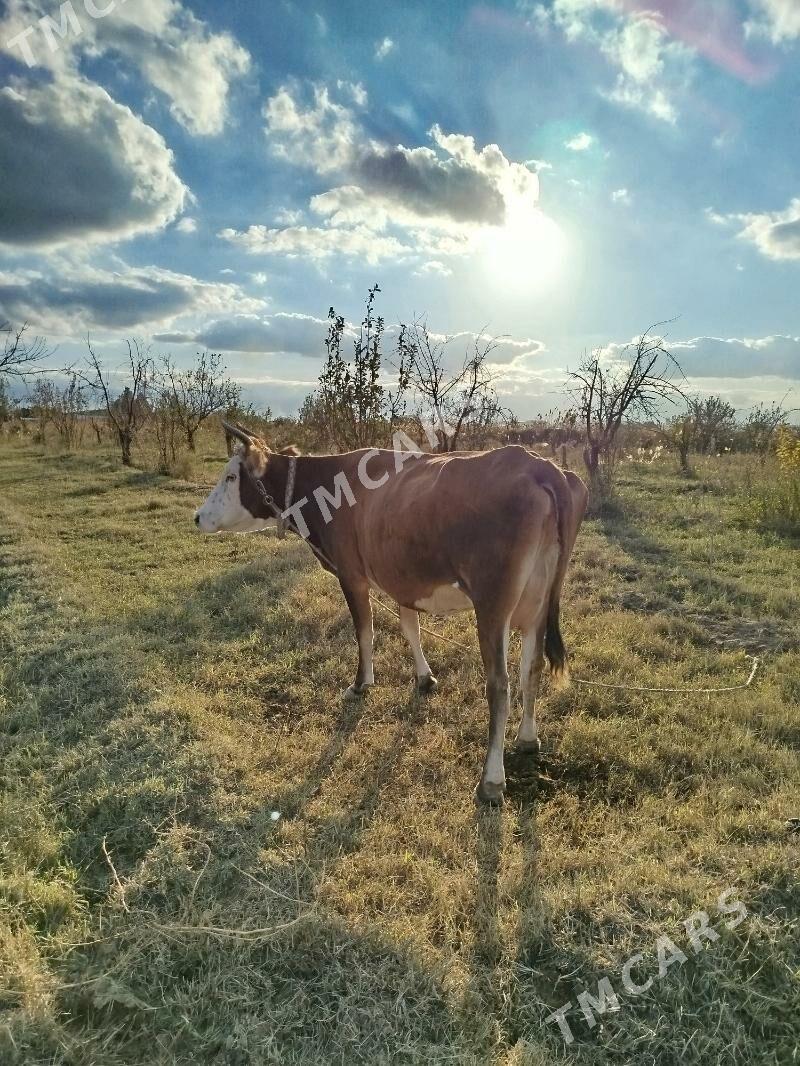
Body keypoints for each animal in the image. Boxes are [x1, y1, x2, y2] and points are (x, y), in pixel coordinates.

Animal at [198, 422, 588, 801]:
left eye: (231, 476)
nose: (198, 516)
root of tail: (539, 465)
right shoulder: (401, 577)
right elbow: (410, 628)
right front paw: (424, 678)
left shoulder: (352, 575)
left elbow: (365, 632)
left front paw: (360, 684)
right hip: (537, 602)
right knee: (531, 668)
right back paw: (528, 738)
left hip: (493, 603)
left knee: (499, 685)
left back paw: (491, 780)